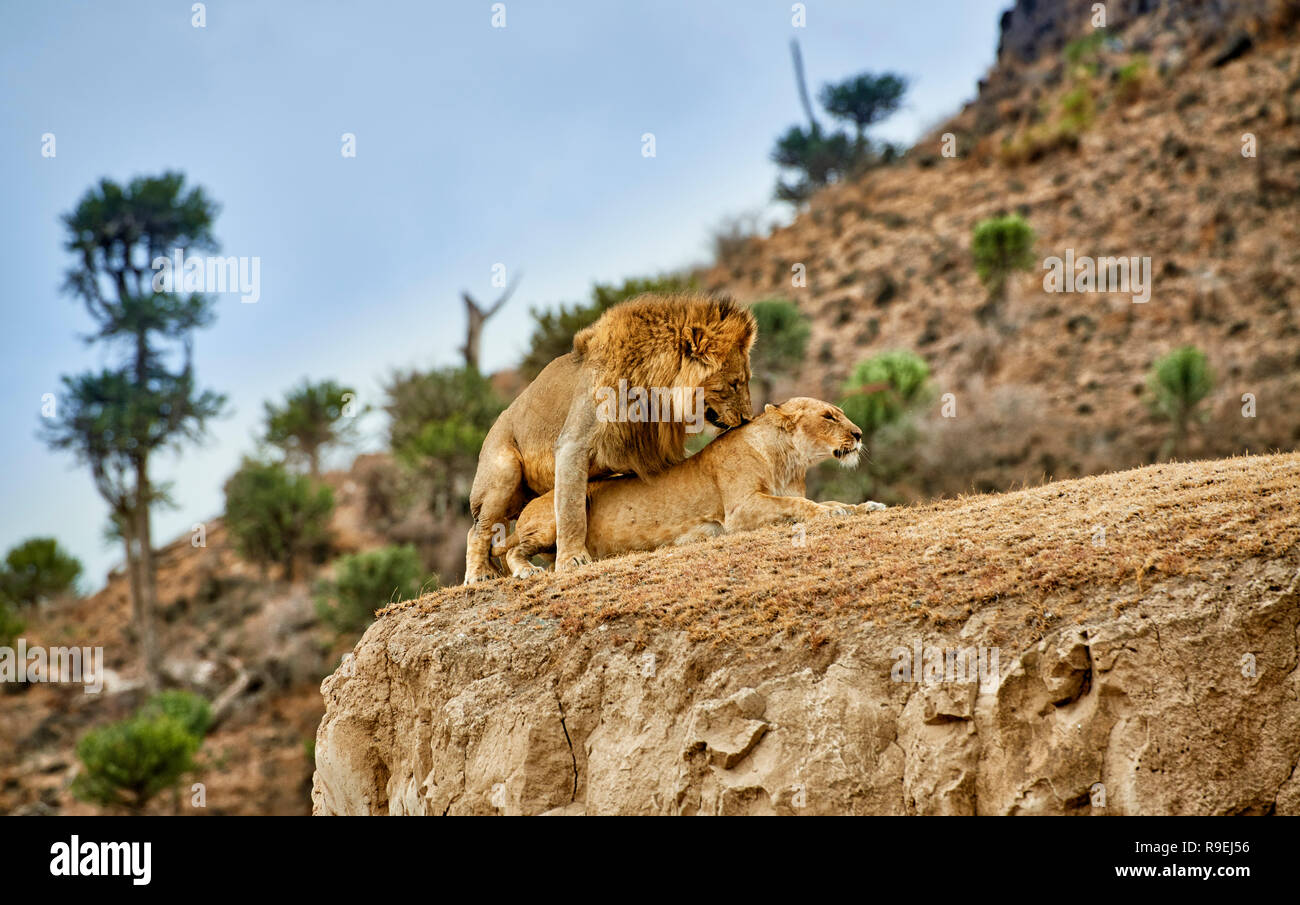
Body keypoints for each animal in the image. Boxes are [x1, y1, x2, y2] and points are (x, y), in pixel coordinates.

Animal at [463, 293, 757, 583]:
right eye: (734, 383)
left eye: (746, 380)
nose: (747, 418)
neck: (654, 388)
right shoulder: (573, 443)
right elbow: (571, 510)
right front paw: (572, 559)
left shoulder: (647, 451)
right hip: (504, 473)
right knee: (477, 530)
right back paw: (481, 574)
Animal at [492, 397, 886, 577]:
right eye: (828, 416)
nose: (859, 434)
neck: (789, 461)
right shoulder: (739, 511)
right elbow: (800, 507)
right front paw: (832, 512)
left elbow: (829, 503)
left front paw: (864, 506)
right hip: (558, 516)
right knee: (514, 550)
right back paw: (528, 570)